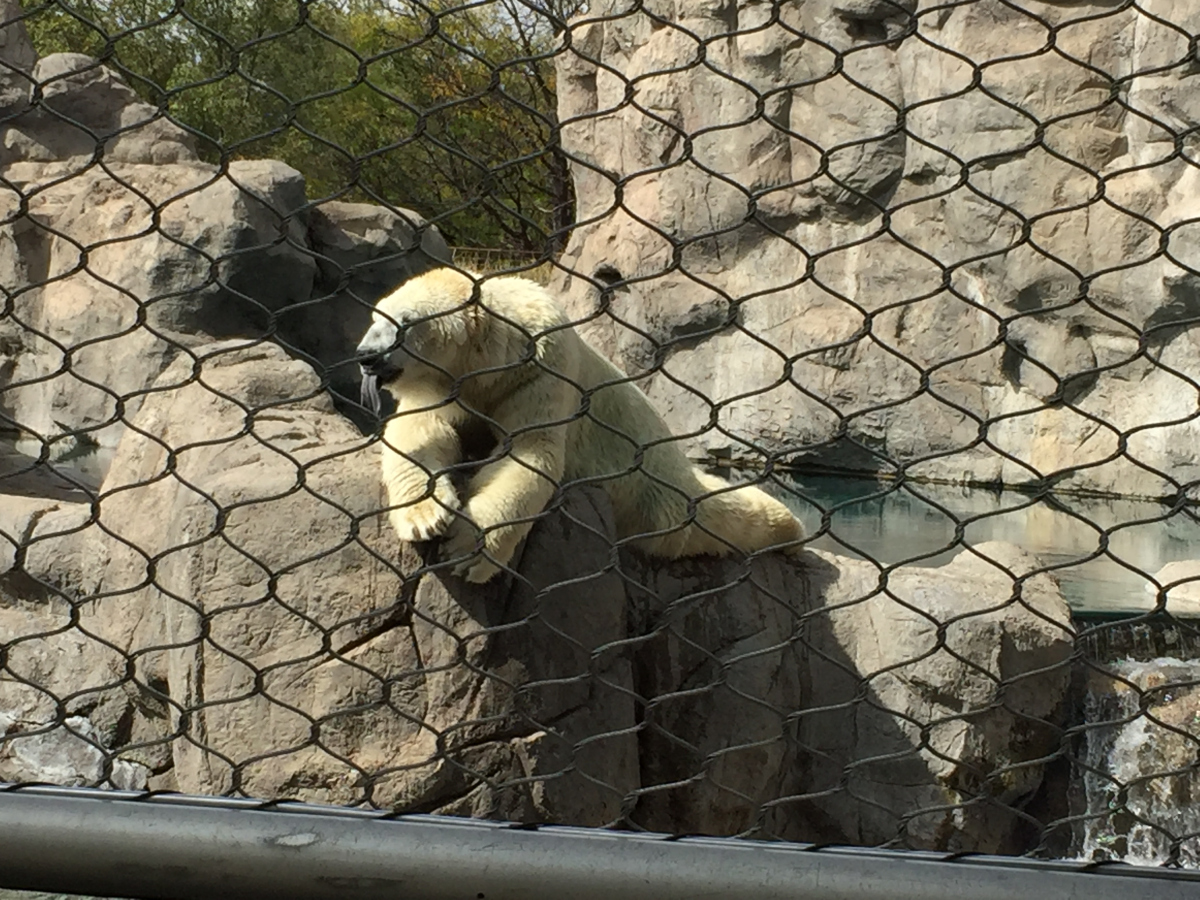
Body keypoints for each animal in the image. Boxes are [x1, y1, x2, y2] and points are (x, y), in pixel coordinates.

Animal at [355, 266, 806, 585]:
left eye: (404, 322)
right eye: (375, 318)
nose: (365, 356)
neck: (487, 361)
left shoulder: (541, 369)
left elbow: (532, 453)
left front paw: (469, 551)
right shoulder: (448, 389)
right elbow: (420, 432)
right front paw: (425, 517)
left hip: (649, 482)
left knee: (706, 517)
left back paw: (792, 531)